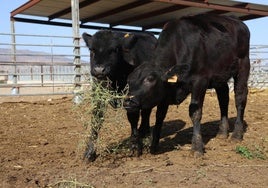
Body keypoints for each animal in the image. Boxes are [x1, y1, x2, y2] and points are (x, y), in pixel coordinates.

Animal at [82, 30, 157, 161]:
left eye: (115, 49)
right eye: (92, 49)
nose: (99, 70)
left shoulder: (131, 98)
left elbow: (133, 119)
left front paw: (135, 146)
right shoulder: (98, 94)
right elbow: (96, 120)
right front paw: (90, 151)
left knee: (146, 113)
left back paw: (145, 133)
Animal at [124, 13, 250, 156]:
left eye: (150, 79)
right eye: (129, 80)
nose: (128, 102)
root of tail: (237, 21)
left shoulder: (200, 81)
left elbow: (195, 111)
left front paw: (197, 147)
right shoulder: (165, 91)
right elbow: (159, 116)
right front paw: (154, 145)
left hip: (243, 65)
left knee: (240, 97)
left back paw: (237, 134)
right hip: (220, 76)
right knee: (223, 98)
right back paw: (222, 132)